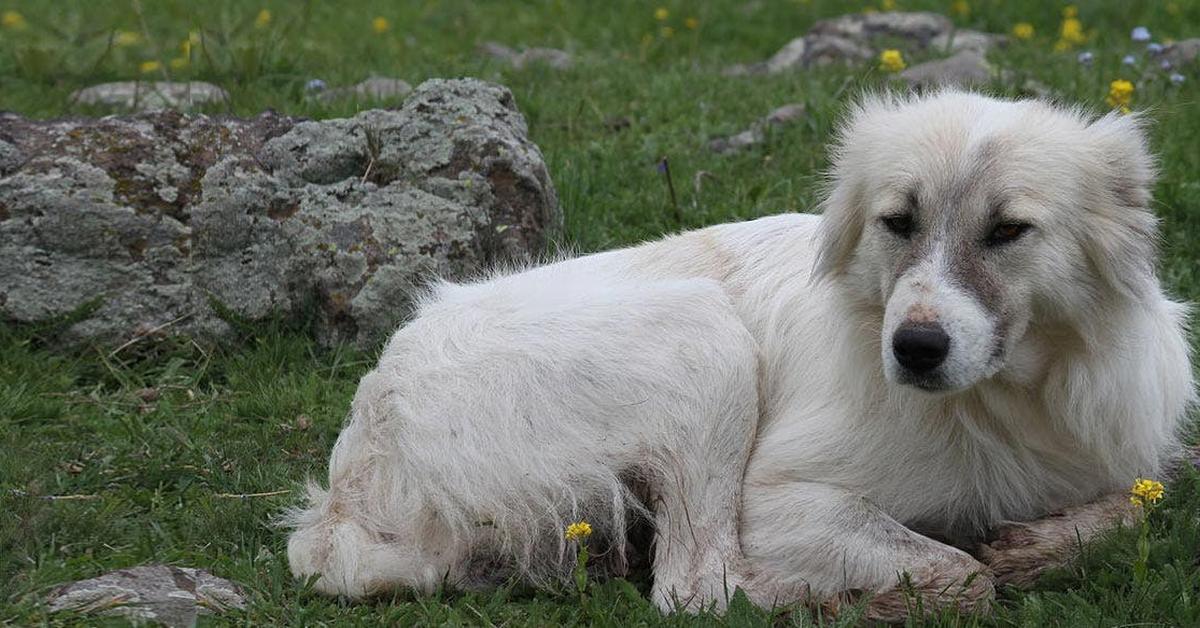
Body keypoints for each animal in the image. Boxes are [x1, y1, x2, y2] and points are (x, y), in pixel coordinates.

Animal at [285, 90, 1195, 614]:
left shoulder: (1132, 456)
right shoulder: (783, 501)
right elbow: (956, 573)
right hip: (704, 339)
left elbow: (1138, 502)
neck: (1009, 401)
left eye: (1007, 231)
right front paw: (958, 573)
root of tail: (354, 474)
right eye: (898, 221)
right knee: (698, 588)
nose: (915, 349)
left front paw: (1043, 544)